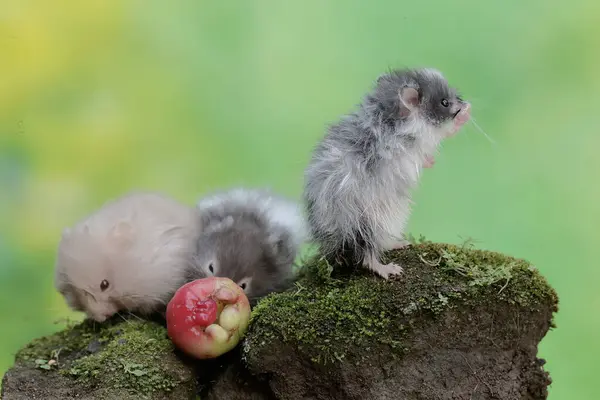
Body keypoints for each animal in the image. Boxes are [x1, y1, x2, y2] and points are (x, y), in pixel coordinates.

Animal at [304, 68, 468, 278]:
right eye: (444, 102)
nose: (464, 103)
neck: (390, 116)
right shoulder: (415, 143)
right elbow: (440, 136)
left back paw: (400, 243)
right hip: (366, 225)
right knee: (366, 256)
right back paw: (390, 269)